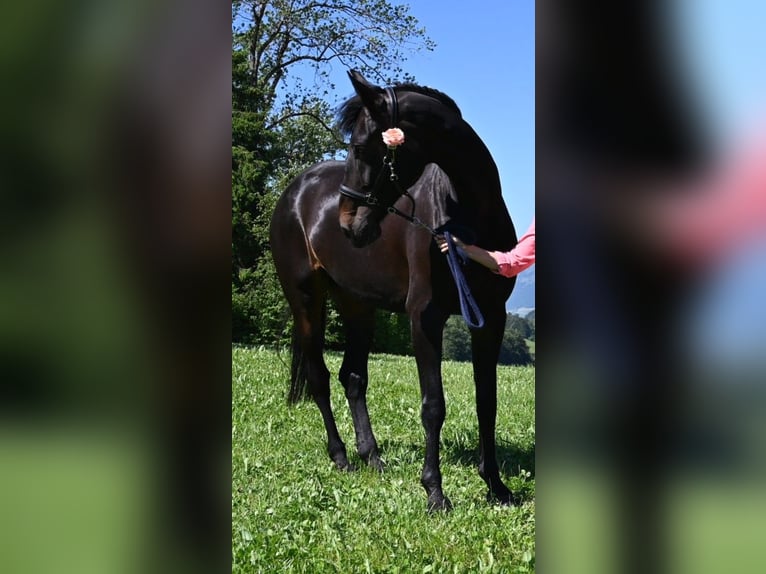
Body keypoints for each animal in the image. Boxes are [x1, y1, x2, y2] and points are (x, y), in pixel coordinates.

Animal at [270, 71, 518, 511]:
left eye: (360, 146)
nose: (349, 224)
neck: (468, 216)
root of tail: (293, 192)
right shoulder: (425, 317)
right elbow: (433, 405)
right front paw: (435, 492)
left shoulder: (491, 318)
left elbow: (486, 401)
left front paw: (496, 485)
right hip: (305, 300)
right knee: (318, 377)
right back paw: (341, 457)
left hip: (356, 306)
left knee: (352, 377)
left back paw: (372, 457)